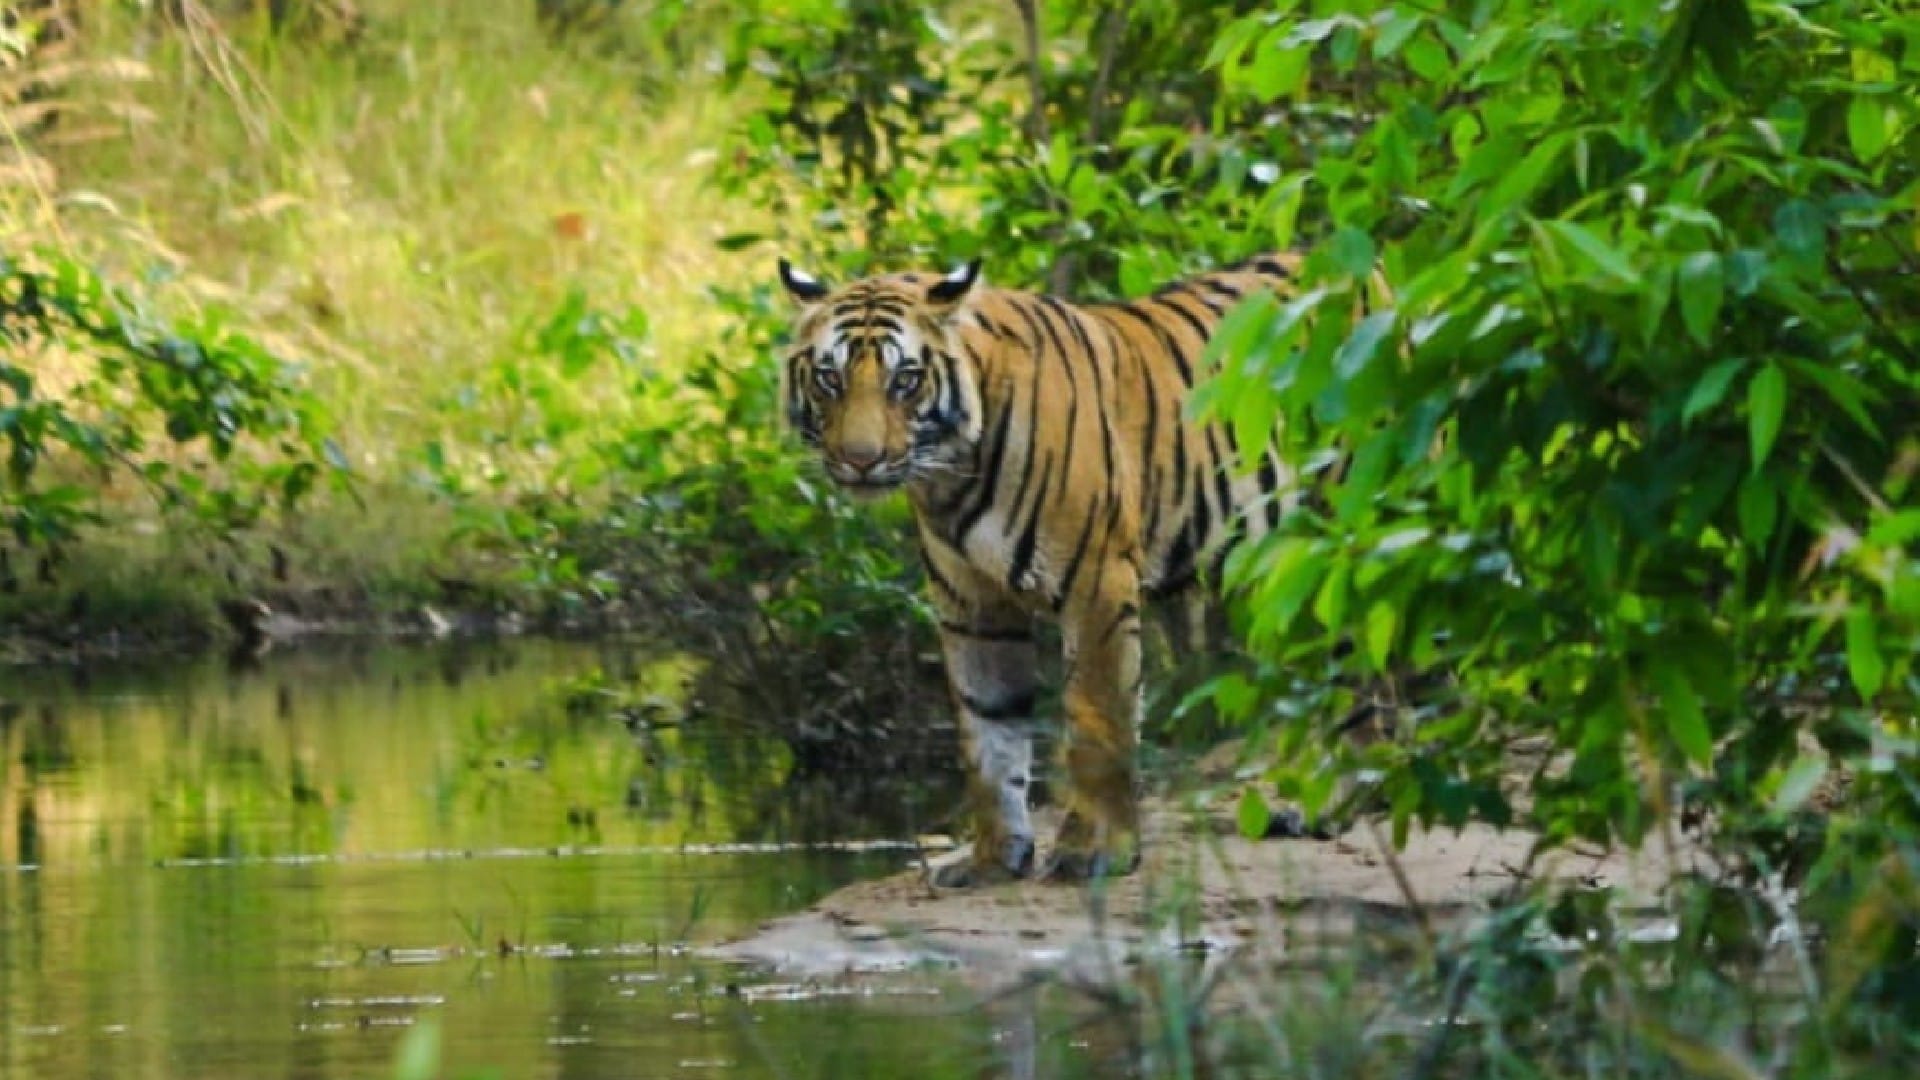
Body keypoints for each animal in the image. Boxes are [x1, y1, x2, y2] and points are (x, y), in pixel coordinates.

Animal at [775, 253, 1309, 886]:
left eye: (903, 379)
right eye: (828, 379)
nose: (859, 460)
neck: (951, 474)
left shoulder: (1098, 583)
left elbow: (1097, 719)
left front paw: (1095, 850)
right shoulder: (973, 606)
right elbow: (988, 732)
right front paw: (991, 857)